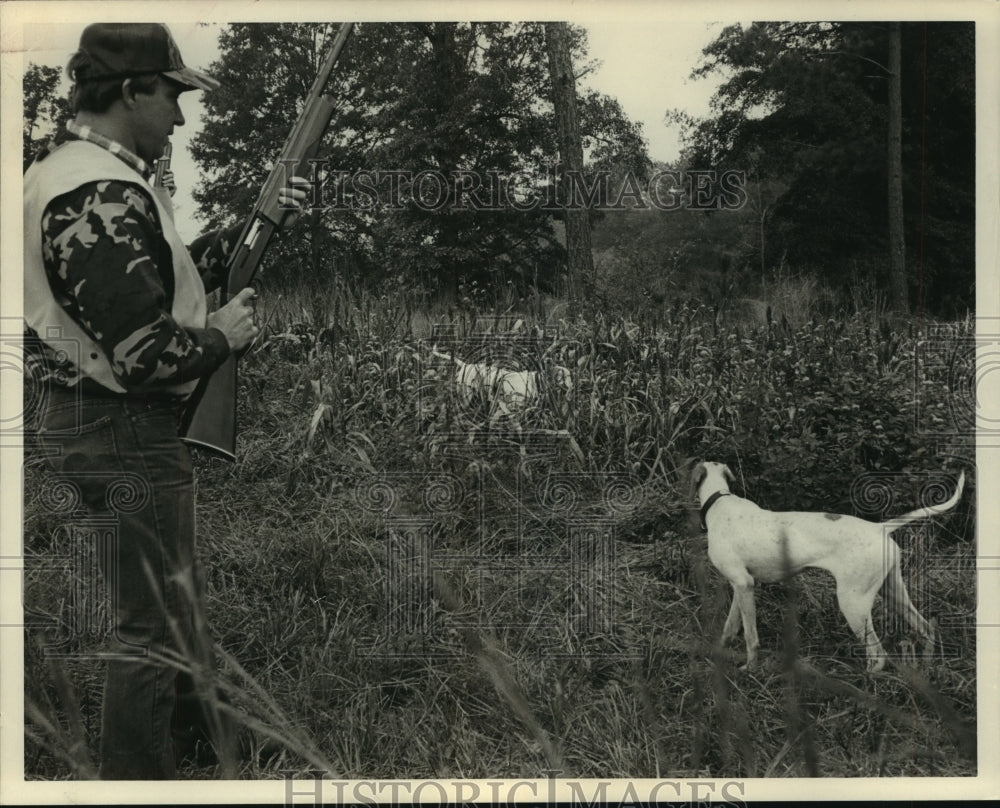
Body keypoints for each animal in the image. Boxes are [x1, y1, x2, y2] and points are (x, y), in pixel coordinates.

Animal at [692, 458, 964, 672]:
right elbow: (730, 625)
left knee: (879, 655)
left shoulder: (743, 584)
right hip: (894, 594)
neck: (719, 501)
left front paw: (750, 669)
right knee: (926, 628)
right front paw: (719, 650)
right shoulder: (743, 585)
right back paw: (926, 669)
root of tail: (880, 528)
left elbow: (751, 636)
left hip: (853, 603)